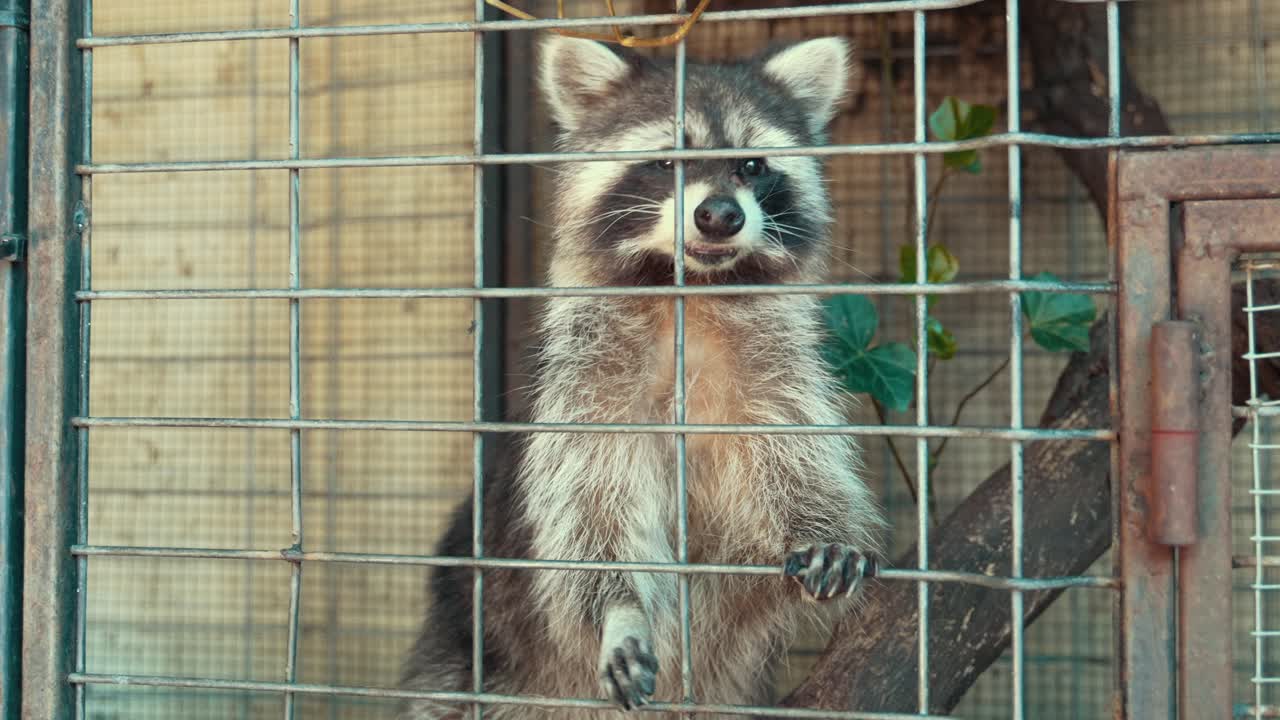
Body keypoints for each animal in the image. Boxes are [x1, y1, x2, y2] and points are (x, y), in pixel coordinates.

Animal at [400, 35, 885, 720]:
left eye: (752, 166)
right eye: (665, 162)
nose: (719, 215)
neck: (689, 295)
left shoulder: (776, 373)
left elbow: (798, 459)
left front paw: (819, 526)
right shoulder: (584, 387)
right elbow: (589, 515)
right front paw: (619, 612)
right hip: (463, 656)